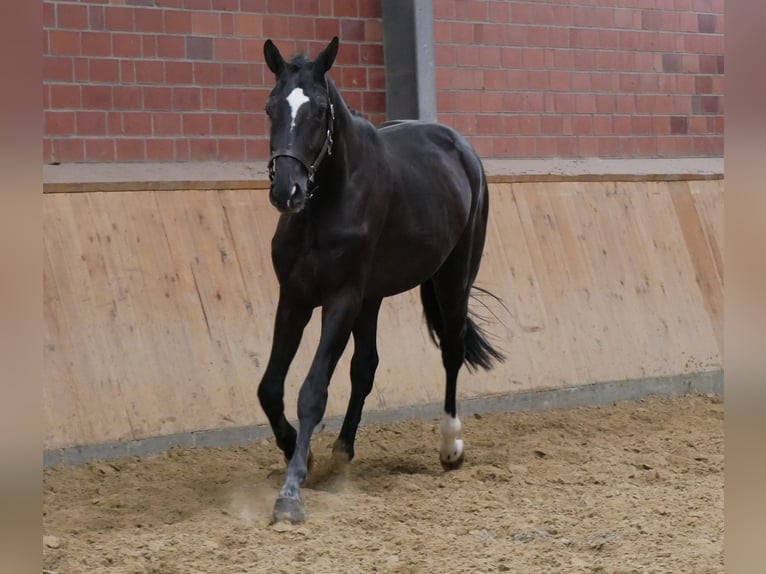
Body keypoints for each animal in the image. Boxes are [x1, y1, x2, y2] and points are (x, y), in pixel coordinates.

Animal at [258, 38, 504, 528]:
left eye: (318, 110)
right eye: (271, 107)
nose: (286, 192)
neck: (325, 204)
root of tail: (461, 150)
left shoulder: (340, 300)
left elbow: (312, 391)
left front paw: (291, 493)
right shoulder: (295, 298)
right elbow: (271, 387)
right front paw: (302, 454)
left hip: (452, 279)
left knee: (451, 350)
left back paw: (449, 446)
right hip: (371, 299)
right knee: (365, 367)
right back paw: (341, 453)